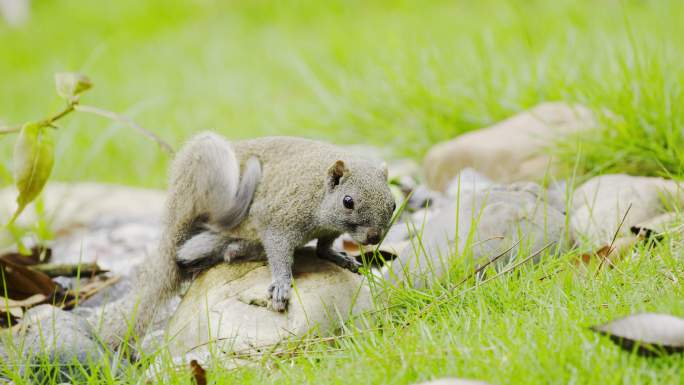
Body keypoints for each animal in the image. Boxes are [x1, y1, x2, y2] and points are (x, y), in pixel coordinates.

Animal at [93, 133, 398, 348]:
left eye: (393, 203)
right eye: (348, 201)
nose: (374, 237)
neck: (317, 194)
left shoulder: (328, 230)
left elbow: (324, 247)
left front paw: (338, 257)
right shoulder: (278, 219)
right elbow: (278, 251)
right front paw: (281, 284)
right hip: (207, 170)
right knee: (189, 252)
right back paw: (236, 247)